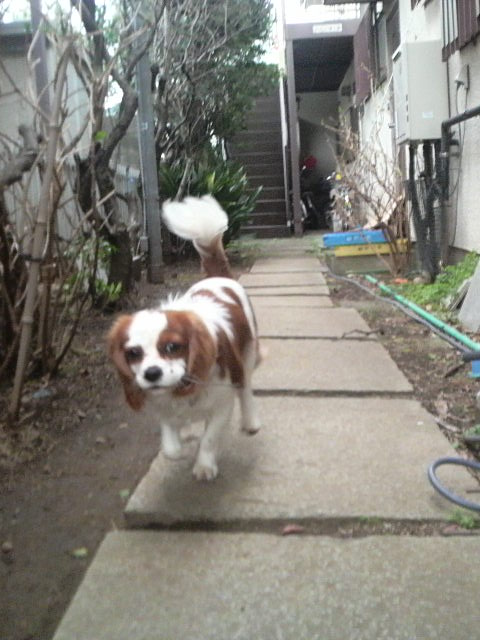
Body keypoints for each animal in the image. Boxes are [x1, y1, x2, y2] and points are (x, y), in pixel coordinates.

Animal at [108, 195, 261, 481]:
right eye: (133, 353)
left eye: (172, 347)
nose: (152, 373)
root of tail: (218, 277)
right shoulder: (163, 406)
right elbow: (170, 446)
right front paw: (178, 446)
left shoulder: (222, 404)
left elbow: (210, 437)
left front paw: (204, 465)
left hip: (246, 355)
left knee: (245, 389)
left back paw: (250, 422)